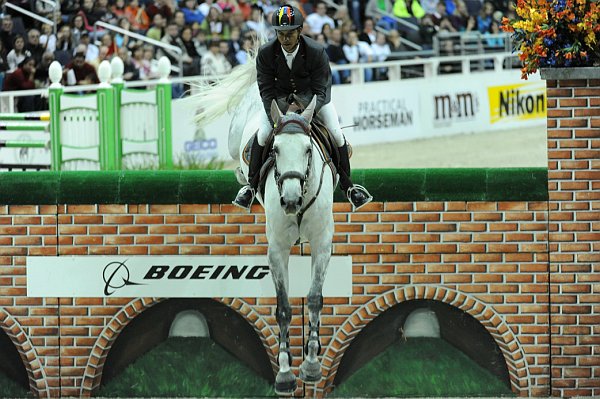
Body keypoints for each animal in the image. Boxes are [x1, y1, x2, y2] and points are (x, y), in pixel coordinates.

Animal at [196, 57, 338, 396]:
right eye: (274, 150)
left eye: (308, 150)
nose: (290, 200)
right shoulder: (277, 249)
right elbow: (284, 306)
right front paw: (285, 373)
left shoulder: (322, 242)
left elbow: (314, 298)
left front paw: (311, 366)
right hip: (238, 135)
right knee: (237, 160)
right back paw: (243, 186)